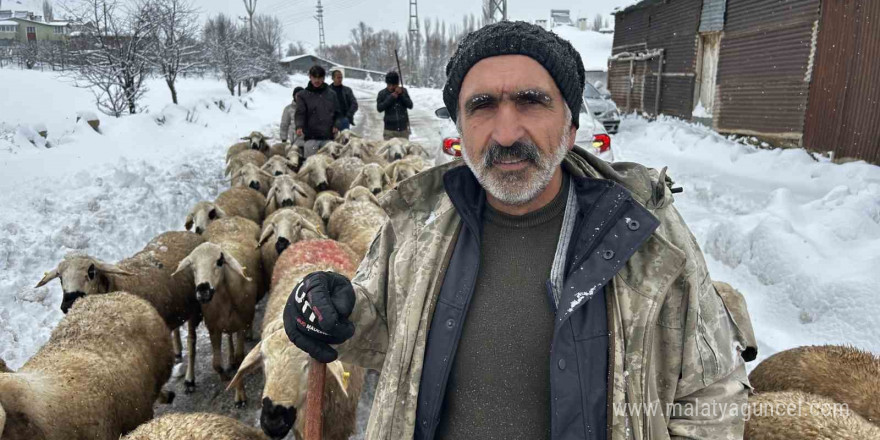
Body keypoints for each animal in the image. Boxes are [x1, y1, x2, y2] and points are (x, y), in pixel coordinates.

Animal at [174, 216, 262, 406]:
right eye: (192, 266)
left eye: (219, 261)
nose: (203, 289)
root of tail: (230, 218)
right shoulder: (213, 327)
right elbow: (216, 363)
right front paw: (225, 377)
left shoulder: (242, 324)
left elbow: (240, 359)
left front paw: (240, 395)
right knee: (191, 340)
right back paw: (190, 380)